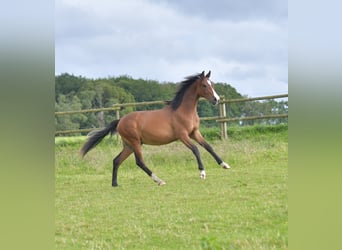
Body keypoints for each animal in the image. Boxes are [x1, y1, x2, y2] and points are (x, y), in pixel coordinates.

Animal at [81, 70, 230, 186]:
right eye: (204, 85)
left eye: (213, 84)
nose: (216, 99)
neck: (183, 111)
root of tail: (120, 121)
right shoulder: (182, 136)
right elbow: (196, 150)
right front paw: (202, 173)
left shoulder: (194, 133)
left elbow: (209, 147)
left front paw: (224, 165)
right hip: (135, 143)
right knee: (139, 162)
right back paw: (159, 180)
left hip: (129, 145)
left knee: (116, 160)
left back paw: (115, 184)